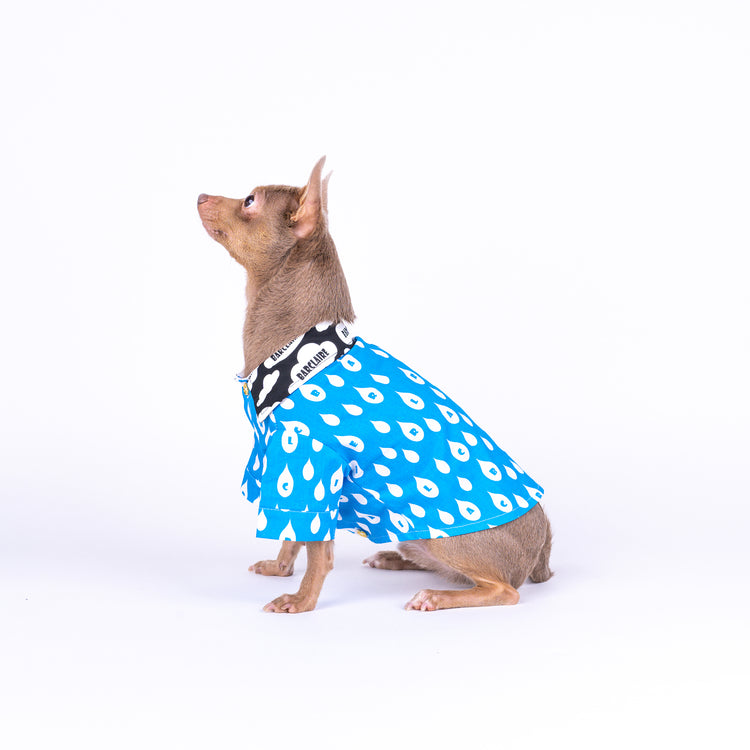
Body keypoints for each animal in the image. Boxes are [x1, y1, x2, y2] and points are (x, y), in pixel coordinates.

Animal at [200, 157, 552, 612]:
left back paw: (436, 597)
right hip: (416, 533)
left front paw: (302, 600)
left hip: (454, 541)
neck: (299, 349)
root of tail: (543, 549)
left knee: (503, 590)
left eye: (249, 201)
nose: (200, 195)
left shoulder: (310, 463)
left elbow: (316, 548)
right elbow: (293, 537)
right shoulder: (286, 465)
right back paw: (394, 559)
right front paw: (280, 569)